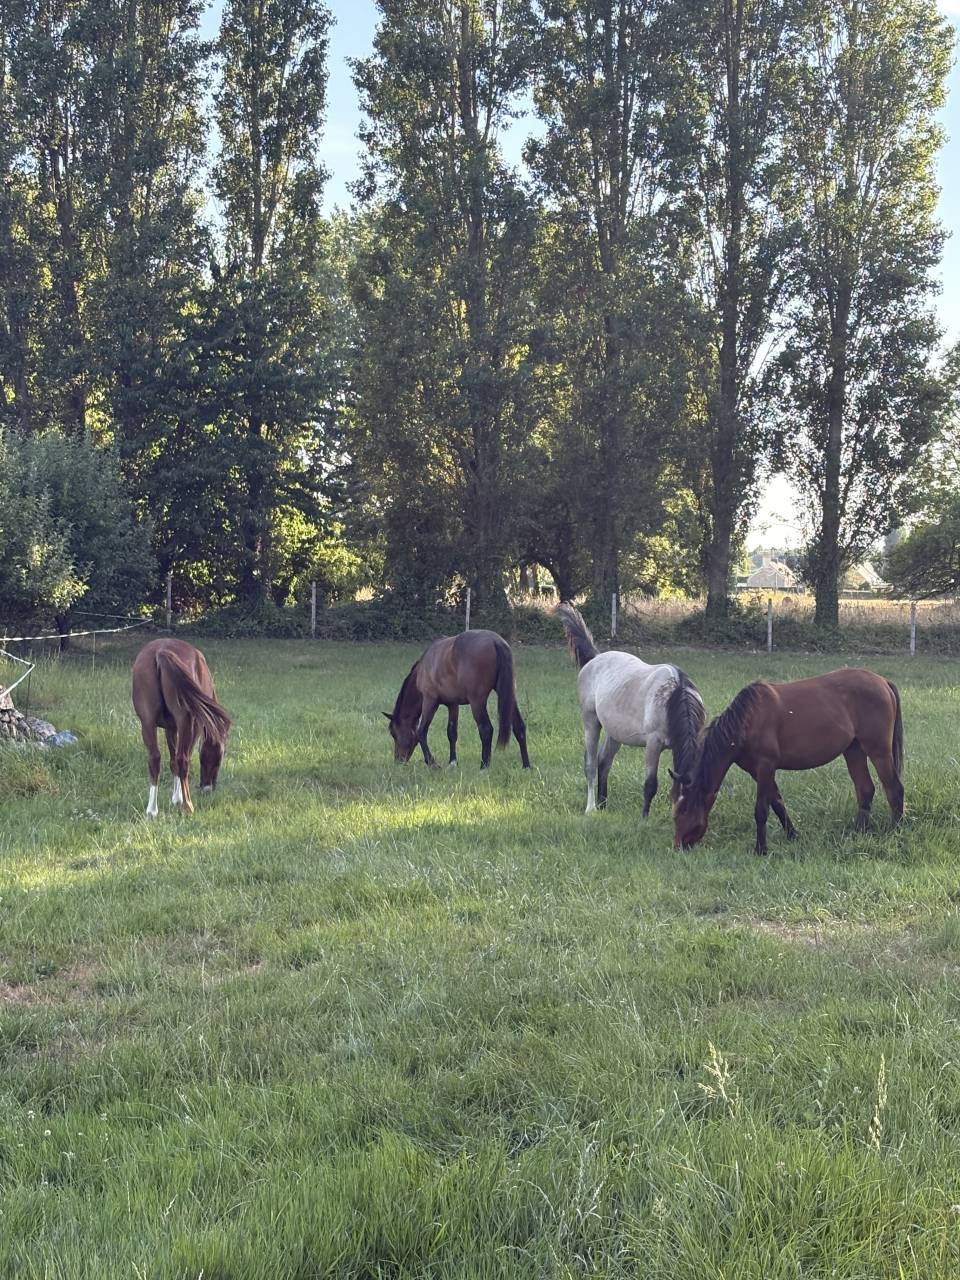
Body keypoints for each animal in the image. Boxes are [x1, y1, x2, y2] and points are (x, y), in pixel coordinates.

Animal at [132, 638, 231, 818]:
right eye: (220, 756)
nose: (207, 788)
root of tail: (161, 651)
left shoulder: (170, 728)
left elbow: (172, 762)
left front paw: (175, 798)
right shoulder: (194, 727)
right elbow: (183, 759)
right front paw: (179, 799)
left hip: (147, 723)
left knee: (154, 759)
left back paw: (152, 810)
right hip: (185, 722)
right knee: (183, 759)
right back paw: (188, 806)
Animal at [385, 630, 530, 769]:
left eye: (393, 733)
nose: (398, 761)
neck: (423, 668)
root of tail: (496, 641)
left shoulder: (430, 700)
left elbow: (421, 732)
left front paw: (432, 763)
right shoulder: (453, 704)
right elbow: (452, 732)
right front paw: (452, 762)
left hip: (477, 702)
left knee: (486, 729)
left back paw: (484, 767)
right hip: (508, 697)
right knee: (519, 727)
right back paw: (526, 765)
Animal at [556, 603, 706, 815]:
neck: (673, 697)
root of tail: (594, 658)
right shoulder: (653, 744)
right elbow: (650, 785)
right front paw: (644, 817)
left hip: (614, 733)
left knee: (604, 762)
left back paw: (603, 804)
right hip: (590, 723)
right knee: (591, 765)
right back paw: (591, 808)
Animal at [672, 668, 904, 854]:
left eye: (684, 812)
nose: (678, 847)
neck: (748, 719)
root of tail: (883, 682)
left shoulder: (766, 766)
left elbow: (761, 810)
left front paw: (761, 849)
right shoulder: (757, 771)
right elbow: (777, 803)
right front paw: (793, 835)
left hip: (878, 751)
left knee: (894, 788)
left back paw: (896, 830)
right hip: (854, 750)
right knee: (865, 789)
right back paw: (859, 832)